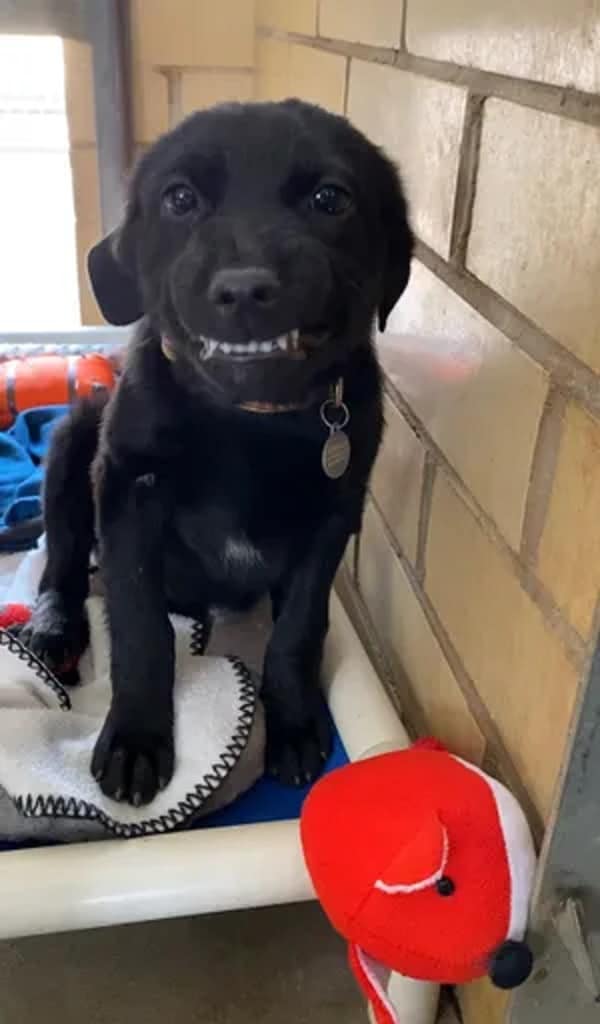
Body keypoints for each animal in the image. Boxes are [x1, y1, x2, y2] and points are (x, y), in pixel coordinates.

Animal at [22, 103, 411, 806]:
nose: (245, 289)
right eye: (180, 199)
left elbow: (297, 631)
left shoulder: (332, 519)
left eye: (331, 198)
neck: (247, 420)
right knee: (60, 562)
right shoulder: (127, 492)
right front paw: (136, 738)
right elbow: (140, 627)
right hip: (72, 443)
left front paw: (292, 721)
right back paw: (54, 626)